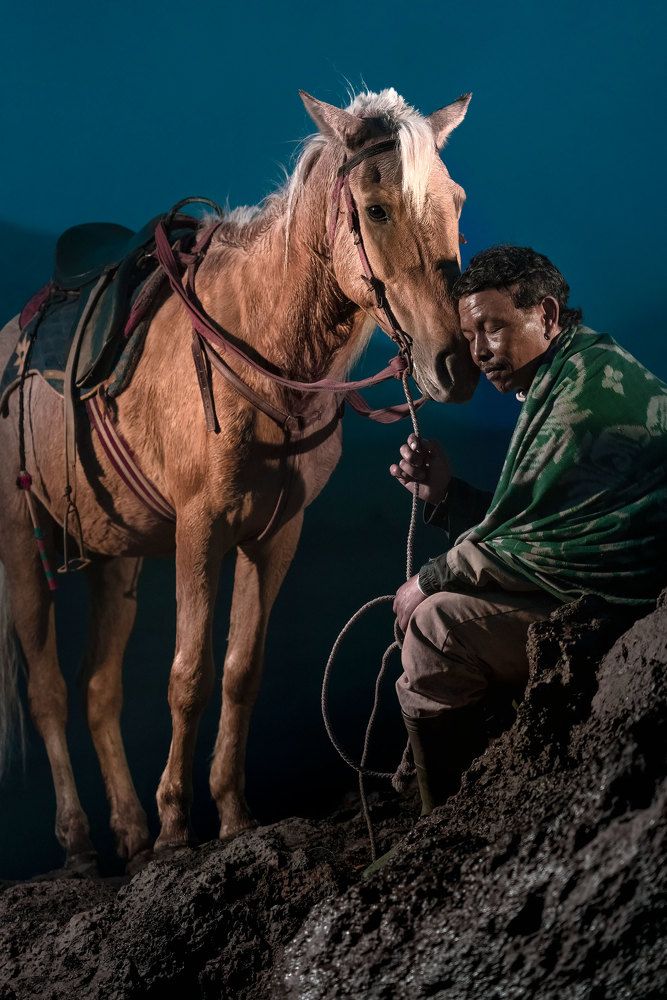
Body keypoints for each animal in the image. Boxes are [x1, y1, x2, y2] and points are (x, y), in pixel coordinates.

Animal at [0, 86, 478, 873]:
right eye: (376, 208)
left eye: (456, 201)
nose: (456, 365)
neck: (263, 343)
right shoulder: (201, 529)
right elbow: (188, 674)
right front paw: (174, 825)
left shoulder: (276, 533)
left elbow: (239, 670)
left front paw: (229, 813)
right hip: (22, 541)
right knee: (46, 690)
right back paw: (80, 840)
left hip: (117, 555)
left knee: (99, 687)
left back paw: (127, 828)